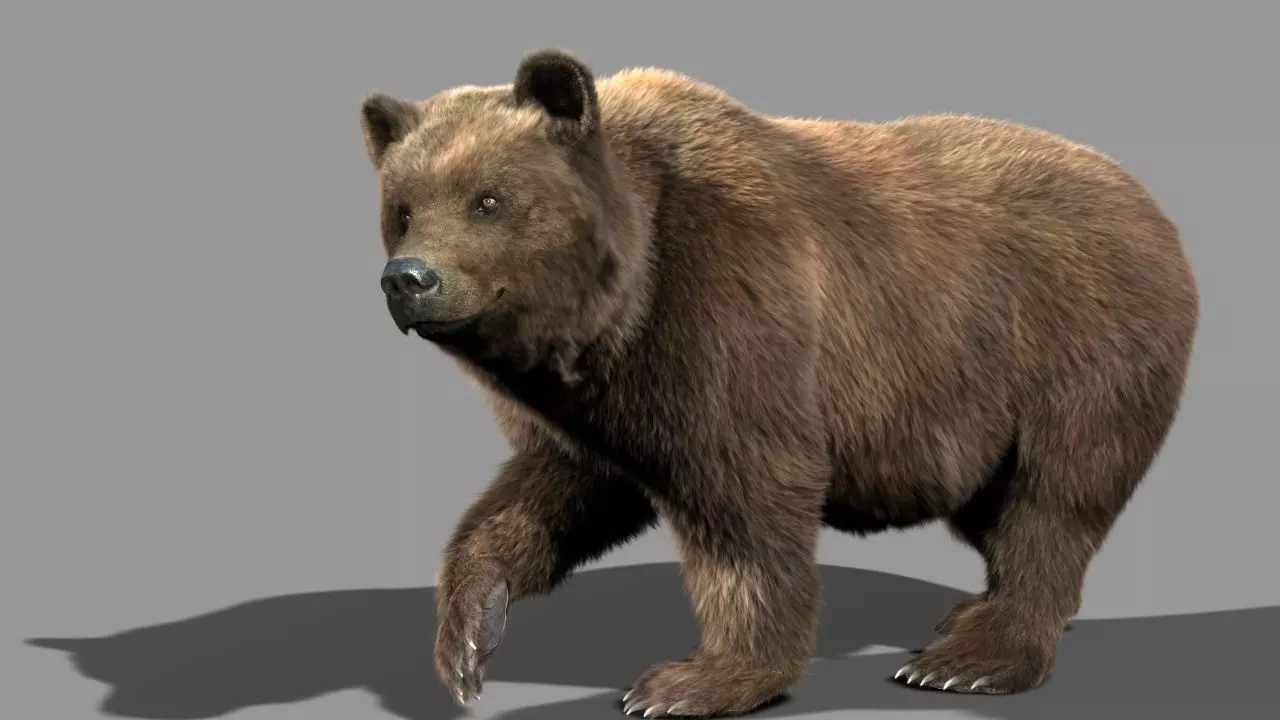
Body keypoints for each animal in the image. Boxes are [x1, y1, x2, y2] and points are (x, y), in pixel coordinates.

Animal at [358, 48, 1200, 717]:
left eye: (488, 199)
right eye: (403, 209)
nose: (409, 279)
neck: (621, 305)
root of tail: (1149, 203)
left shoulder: (730, 314)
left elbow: (747, 505)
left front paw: (689, 681)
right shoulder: (602, 404)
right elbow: (550, 491)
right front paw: (467, 642)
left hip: (1072, 347)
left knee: (1053, 497)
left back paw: (971, 657)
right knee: (999, 506)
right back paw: (969, 615)